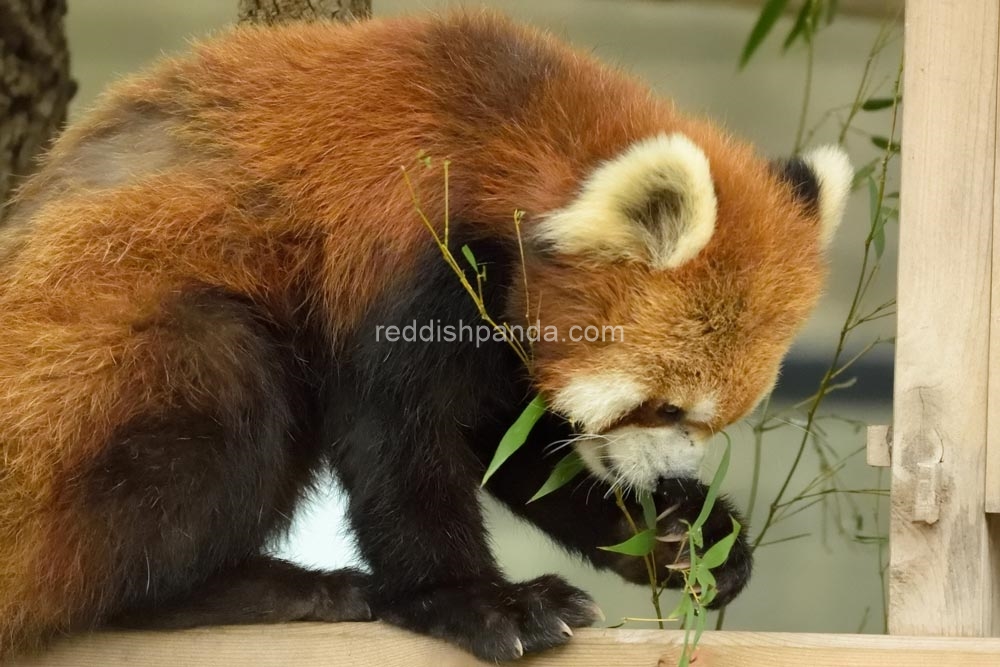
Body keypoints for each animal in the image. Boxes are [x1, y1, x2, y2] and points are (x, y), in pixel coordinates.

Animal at [0, 9, 852, 664]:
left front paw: (680, 534)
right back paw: (259, 588)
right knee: (229, 382)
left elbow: (509, 437)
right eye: (666, 407)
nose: (665, 476)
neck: (501, 124)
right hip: (105, 392)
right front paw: (479, 600)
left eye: (711, 421)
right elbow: (396, 439)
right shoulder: (402, 248)